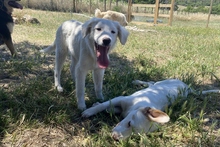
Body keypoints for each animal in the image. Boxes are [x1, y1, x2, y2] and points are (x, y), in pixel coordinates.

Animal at [81, 78, 219, 141]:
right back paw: (138, 82)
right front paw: (89, 111)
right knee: (151, 82)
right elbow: (103, 105)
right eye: (129, 123)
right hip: (162, 82)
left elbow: (109, 109)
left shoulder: (121, 109)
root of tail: (188, 88)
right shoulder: (120, 99)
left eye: (134, 136)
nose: (115, 138)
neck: (137, 106)